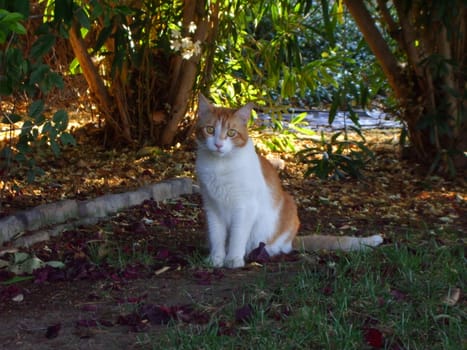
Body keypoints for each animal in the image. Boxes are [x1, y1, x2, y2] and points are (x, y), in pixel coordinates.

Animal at [195, 93, 384, 268]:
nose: (218, 145)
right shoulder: (212, 206)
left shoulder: (244, 207)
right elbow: (217, 236)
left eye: (231, 133)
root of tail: (292, 239)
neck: (219, 165)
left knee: (276, 246)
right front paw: (216, 259)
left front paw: (233, 259)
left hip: (287, 208)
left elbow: (237, 236)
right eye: (210, 130)